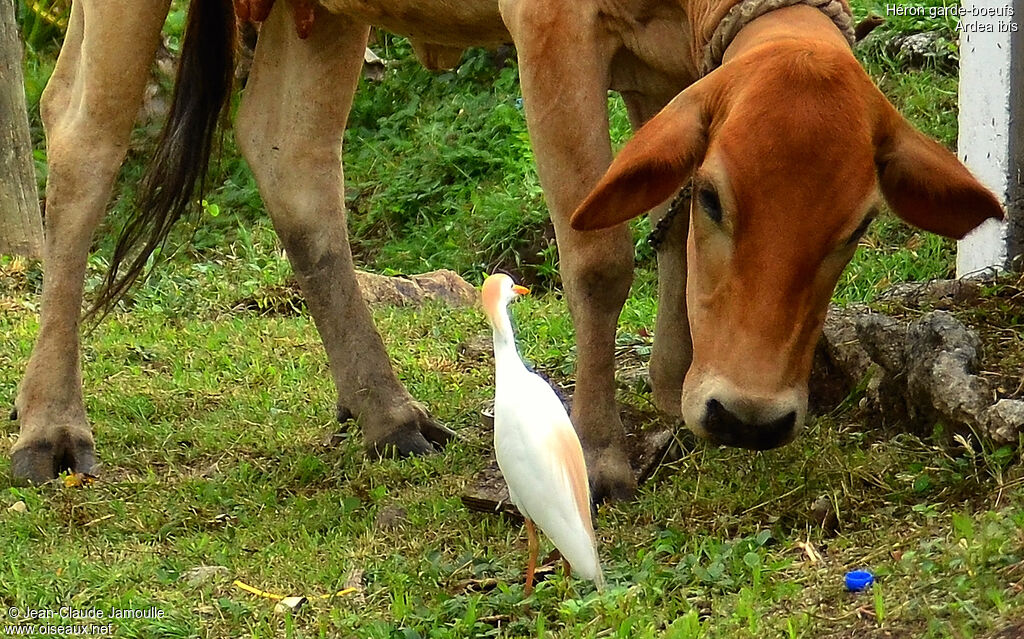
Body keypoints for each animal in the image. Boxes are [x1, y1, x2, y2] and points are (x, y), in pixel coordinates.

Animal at [8, 0, 999, 503]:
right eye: (723, 197)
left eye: (855, 228)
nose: (751, 417)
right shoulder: (554, 33)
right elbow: (600, 255)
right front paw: (599, 453)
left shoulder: (676, 65)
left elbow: (666, 228)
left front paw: (674, 391)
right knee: (83, 135)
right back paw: (51, 425)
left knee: (291, 160)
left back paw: (387, 414)